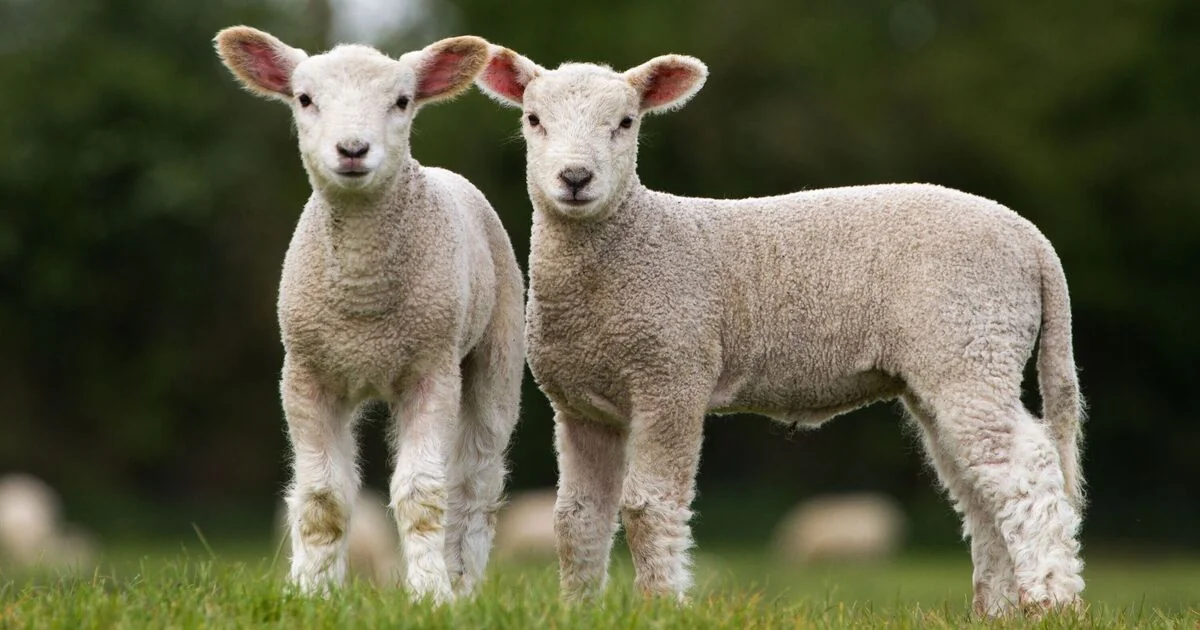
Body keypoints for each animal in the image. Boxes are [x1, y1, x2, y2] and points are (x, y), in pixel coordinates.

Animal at [214, 27, 525, 602]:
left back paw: (462, 582)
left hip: (498, 348)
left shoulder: (431, 370)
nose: (353, 150)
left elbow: (423, 495)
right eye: (304, 99)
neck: (363, 302)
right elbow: (322, 498)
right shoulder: (307, 375)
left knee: (475, 483)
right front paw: (312, 592)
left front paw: (430, 595)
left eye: (401, 101)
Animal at [476, 47, 1086, 616]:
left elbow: (648, 507)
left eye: (626, 122)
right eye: (533, 119)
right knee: (979, 485)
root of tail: (1032, 239)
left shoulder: (672, 375)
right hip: (949, 362)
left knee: (1026, 468)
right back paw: (997, 608)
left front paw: (661, 606)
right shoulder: (581, 407)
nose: (575, 179)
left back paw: (1051, 600)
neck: (629, 243)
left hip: (972, 340)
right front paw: (577, 608)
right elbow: (576, 519)